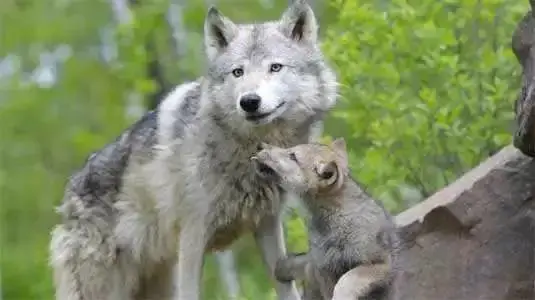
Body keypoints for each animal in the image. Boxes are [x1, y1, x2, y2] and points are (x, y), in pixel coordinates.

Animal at [48, 0, 338, 300]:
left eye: (275, 67)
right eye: (238, 72)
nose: (249, 101)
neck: (247, 151)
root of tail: (69, 192)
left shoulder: (267, 224)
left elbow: (284, 283)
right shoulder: (192, 236)